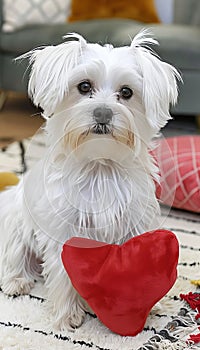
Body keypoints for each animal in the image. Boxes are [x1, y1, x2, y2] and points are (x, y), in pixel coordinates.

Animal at [0, 31, 180, 330]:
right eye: (84, 86)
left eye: (127, 92)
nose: (103, 113)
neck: (100, 167)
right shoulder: (65, 231)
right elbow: (63, 274)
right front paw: (68, 316)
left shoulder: (134, 222)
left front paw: (148, 304)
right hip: (15, 223)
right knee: (13, 257)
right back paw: (16, 281)